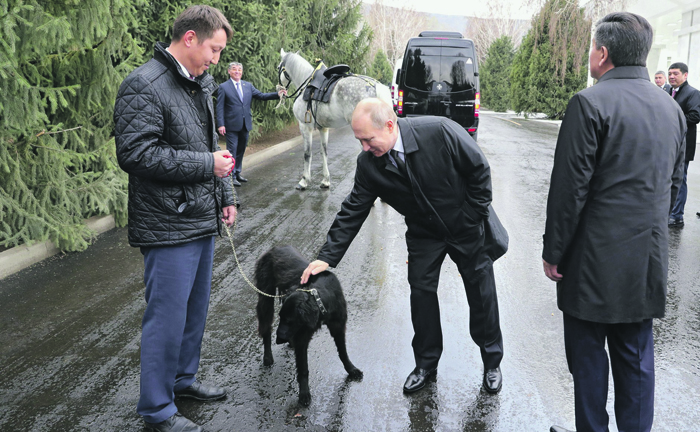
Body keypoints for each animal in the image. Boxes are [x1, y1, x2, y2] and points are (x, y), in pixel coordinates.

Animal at [254, 246, 364, 404]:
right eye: (281, 318)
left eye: (289, 321)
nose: (279, 340)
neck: (318, 297)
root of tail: (274, 248)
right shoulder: (302, 338)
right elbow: (303, 368)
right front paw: (304, 393)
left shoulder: (338, 327)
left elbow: (343, 352)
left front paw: (351, 369)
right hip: (265, 299)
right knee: (266, 328)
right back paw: (267, 356)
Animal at [278, 49, 394, 189]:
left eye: (278, 68)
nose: (279, 88)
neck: (306, 85)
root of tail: (375, 86)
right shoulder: (323, 128)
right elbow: (324, 152)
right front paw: (325, 180)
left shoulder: (305, 127)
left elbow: (307, 154)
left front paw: (304, 181)